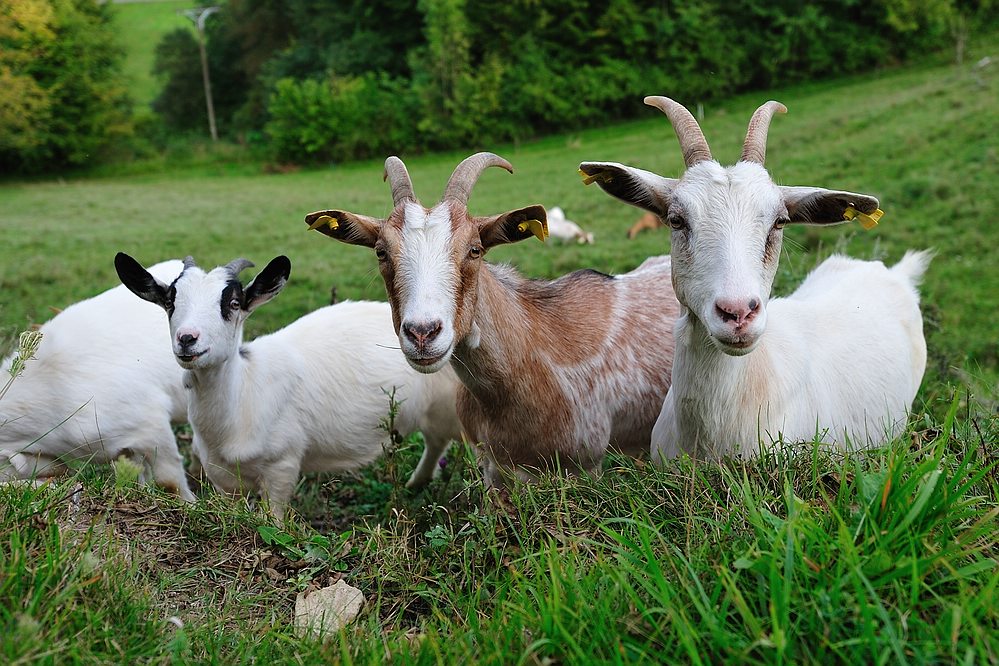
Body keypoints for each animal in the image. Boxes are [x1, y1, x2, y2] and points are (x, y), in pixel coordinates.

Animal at [115, 253, 461, 519]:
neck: (244, 397)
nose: (187, 339)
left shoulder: (281, 466)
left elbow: (275, 518)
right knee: (436, 440)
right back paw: (417, 483)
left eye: (234, 303)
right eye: (170, 301)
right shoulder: (222, 477)